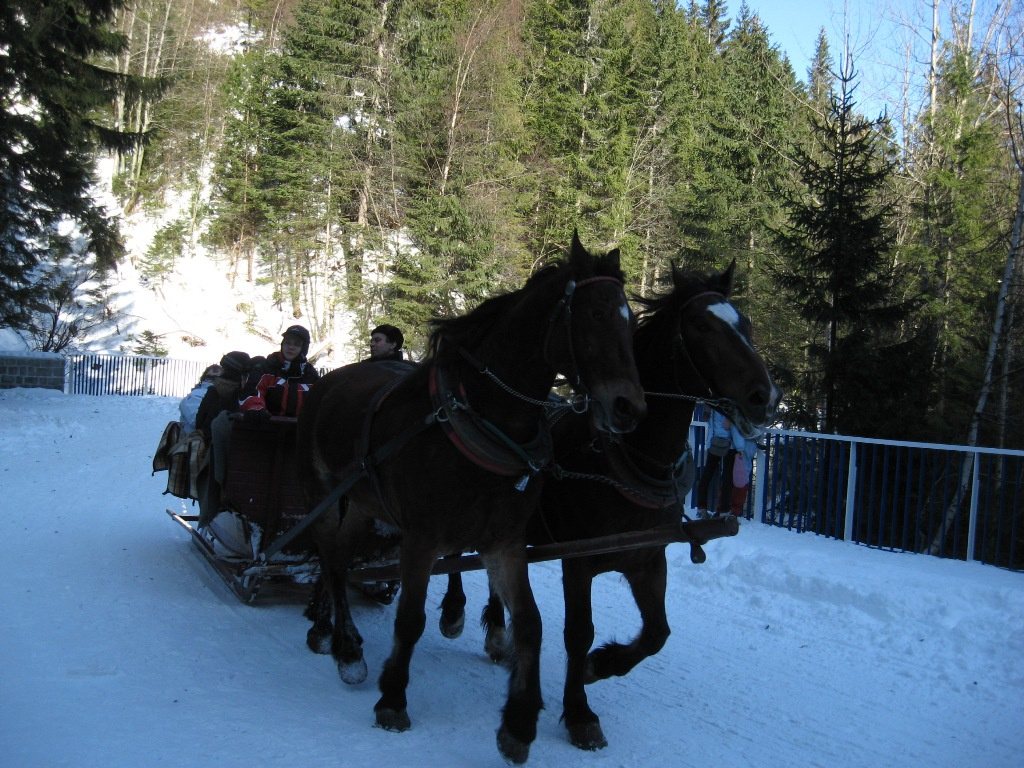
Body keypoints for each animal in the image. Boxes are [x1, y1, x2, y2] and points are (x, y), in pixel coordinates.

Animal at [296, 237, 643, 765]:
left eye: (631, 320)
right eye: (596, 314)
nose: (629, 407)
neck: (485, 419)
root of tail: (328, 380)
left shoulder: (505, 542)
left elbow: (530, 624)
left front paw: (519, 721)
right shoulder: (421, 539)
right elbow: (410, 619)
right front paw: (393, 698)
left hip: (360, 503)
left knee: (336, 558)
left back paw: (337, 638)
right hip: (323, 495)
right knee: (329, 558)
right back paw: (347, 648)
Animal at [440, 264, 782, 753]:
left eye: (746, 325)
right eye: (701, 325)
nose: (766, 398)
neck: (629, 458)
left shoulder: (648, 559)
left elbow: (658, 633)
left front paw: (601, 666)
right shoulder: (578, 563)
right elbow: (578, 633)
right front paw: (580, 711)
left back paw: (500, 634)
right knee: (452, 554)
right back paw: (453, 612)